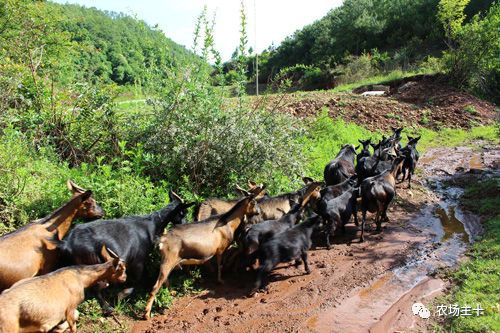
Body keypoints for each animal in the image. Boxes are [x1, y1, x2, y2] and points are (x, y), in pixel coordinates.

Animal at [57, 189, 192, 312]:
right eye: (183, 213)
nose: (186, 224)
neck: (153, 224)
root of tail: (67, 243)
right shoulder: (138, 261)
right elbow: (136, 281)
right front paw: (121, 296)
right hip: (93, 263)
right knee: (96, 288)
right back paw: (108, 308)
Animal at [143, 185, 264, 318]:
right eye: (254, 202)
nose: (259, 212)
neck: (228, 223)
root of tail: (161, 241)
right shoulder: (221, 249)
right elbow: (220, 264)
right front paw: (220, 280)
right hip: (168, 260)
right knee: (155, 287)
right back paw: (146, 314)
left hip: (167, 262)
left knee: (165, 279)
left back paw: (172, 292)